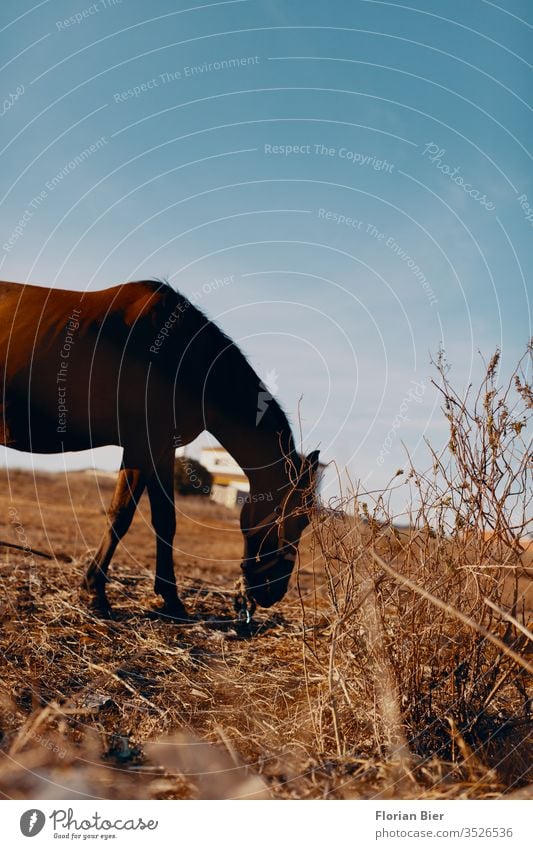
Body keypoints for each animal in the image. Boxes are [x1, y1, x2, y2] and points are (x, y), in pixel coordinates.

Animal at [0, 282, 318, 620]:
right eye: (297, 517)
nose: (274, 592)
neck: (188, 360)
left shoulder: (163, 450)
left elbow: (166, 521)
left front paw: (172, 600)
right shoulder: (142, 446)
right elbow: (121, 515)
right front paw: (95, 592)